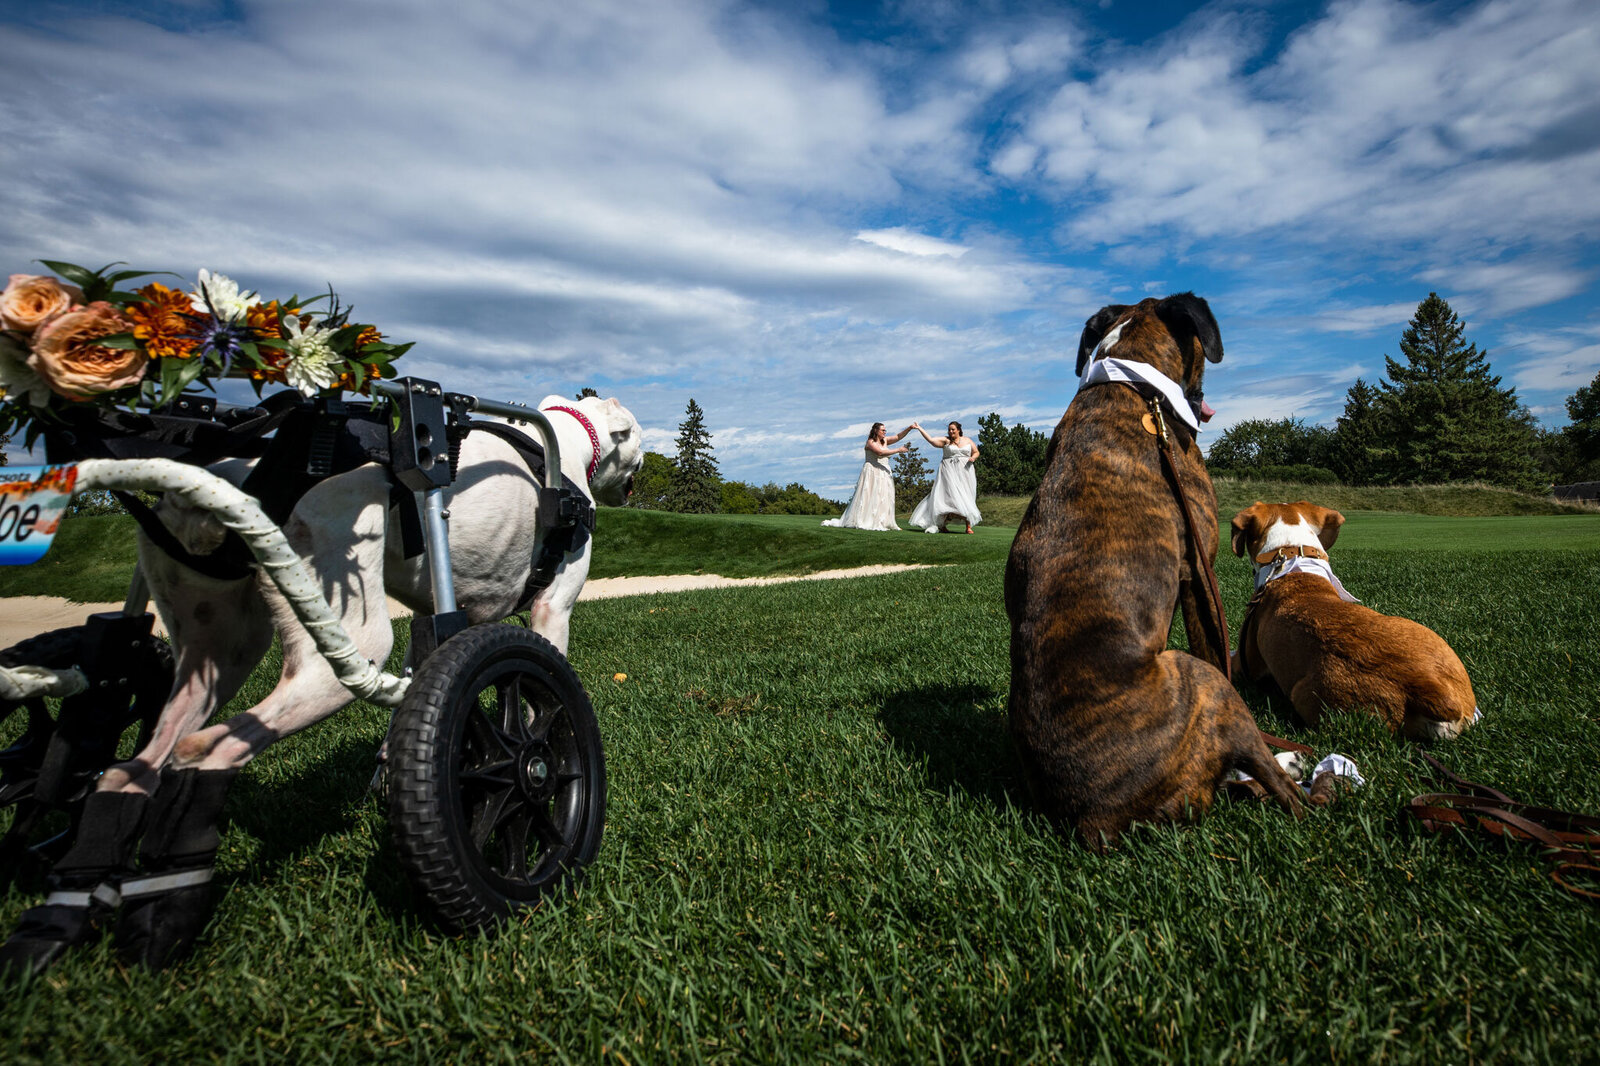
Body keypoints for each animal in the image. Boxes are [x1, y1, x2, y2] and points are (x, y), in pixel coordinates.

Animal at [7, 392, 643, 973]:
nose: (637, 475)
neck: (561, 442)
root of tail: (231, 471)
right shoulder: (550, 612)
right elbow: (540, 704)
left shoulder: (429, 623)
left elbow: (409, 702)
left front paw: (389, 773)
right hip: (346, 645)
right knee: (207, 753)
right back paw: (170, 907)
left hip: (218, 653)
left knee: (130, 769)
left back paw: (71, 909)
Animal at [1004, 292, 1305, 845]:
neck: (1139, 389)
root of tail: (1093, 820)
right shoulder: (1198, 575)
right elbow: (1216, 646)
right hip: (1201, 680)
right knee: (1286, 793)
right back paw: (1290, 769)